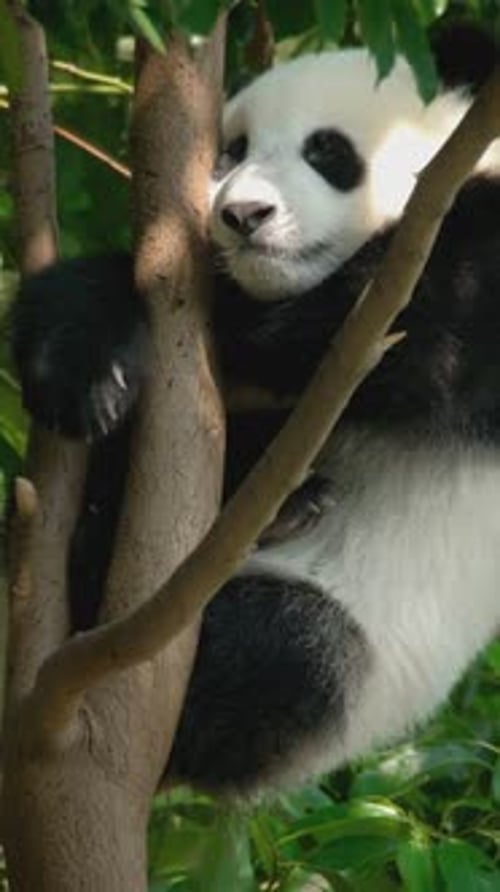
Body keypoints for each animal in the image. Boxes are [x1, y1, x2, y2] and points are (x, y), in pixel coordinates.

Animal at [12, 22, 500, 799]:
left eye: (328, 151)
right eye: (233, 150)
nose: (244, 216)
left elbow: (411, 327)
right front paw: (81, 365)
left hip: (362, 652)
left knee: (280, 653)